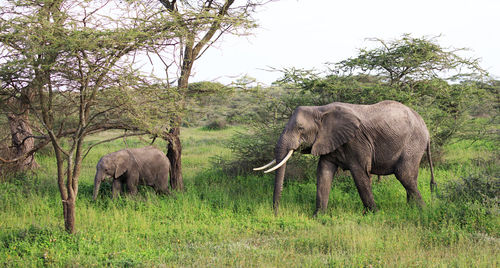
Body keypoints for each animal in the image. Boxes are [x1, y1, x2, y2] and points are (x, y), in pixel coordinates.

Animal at [256, 100, 436, 216]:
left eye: (300, 128)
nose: (276, 214)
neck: (320, 110)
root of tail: (426, 128)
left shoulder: (357, 141)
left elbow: (360, 174)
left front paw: (374, 215)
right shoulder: (329, 140)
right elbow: (324, 173)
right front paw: (318, 217)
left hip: (413, 142)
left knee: (404, 175)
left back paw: (423, 211)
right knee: (410, 177)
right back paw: (411, 209)